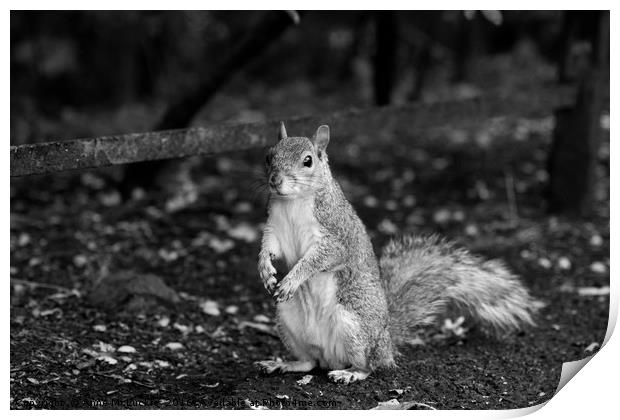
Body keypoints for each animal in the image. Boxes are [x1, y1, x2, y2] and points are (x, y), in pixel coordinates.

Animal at [254, 122, 540, 384]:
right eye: (268, 156)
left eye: (308, 161)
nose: (275, 180)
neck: (293, 202)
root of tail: (387, 341)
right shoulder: (274, 227)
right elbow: (268, 248)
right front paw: (265, 270)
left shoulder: (335, 235)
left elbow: (318, 259)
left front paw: (292, 278)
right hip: (288, 322)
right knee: (309, 361)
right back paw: (284, 364)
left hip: (354, 325)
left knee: (369, 364)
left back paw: (351, 373)